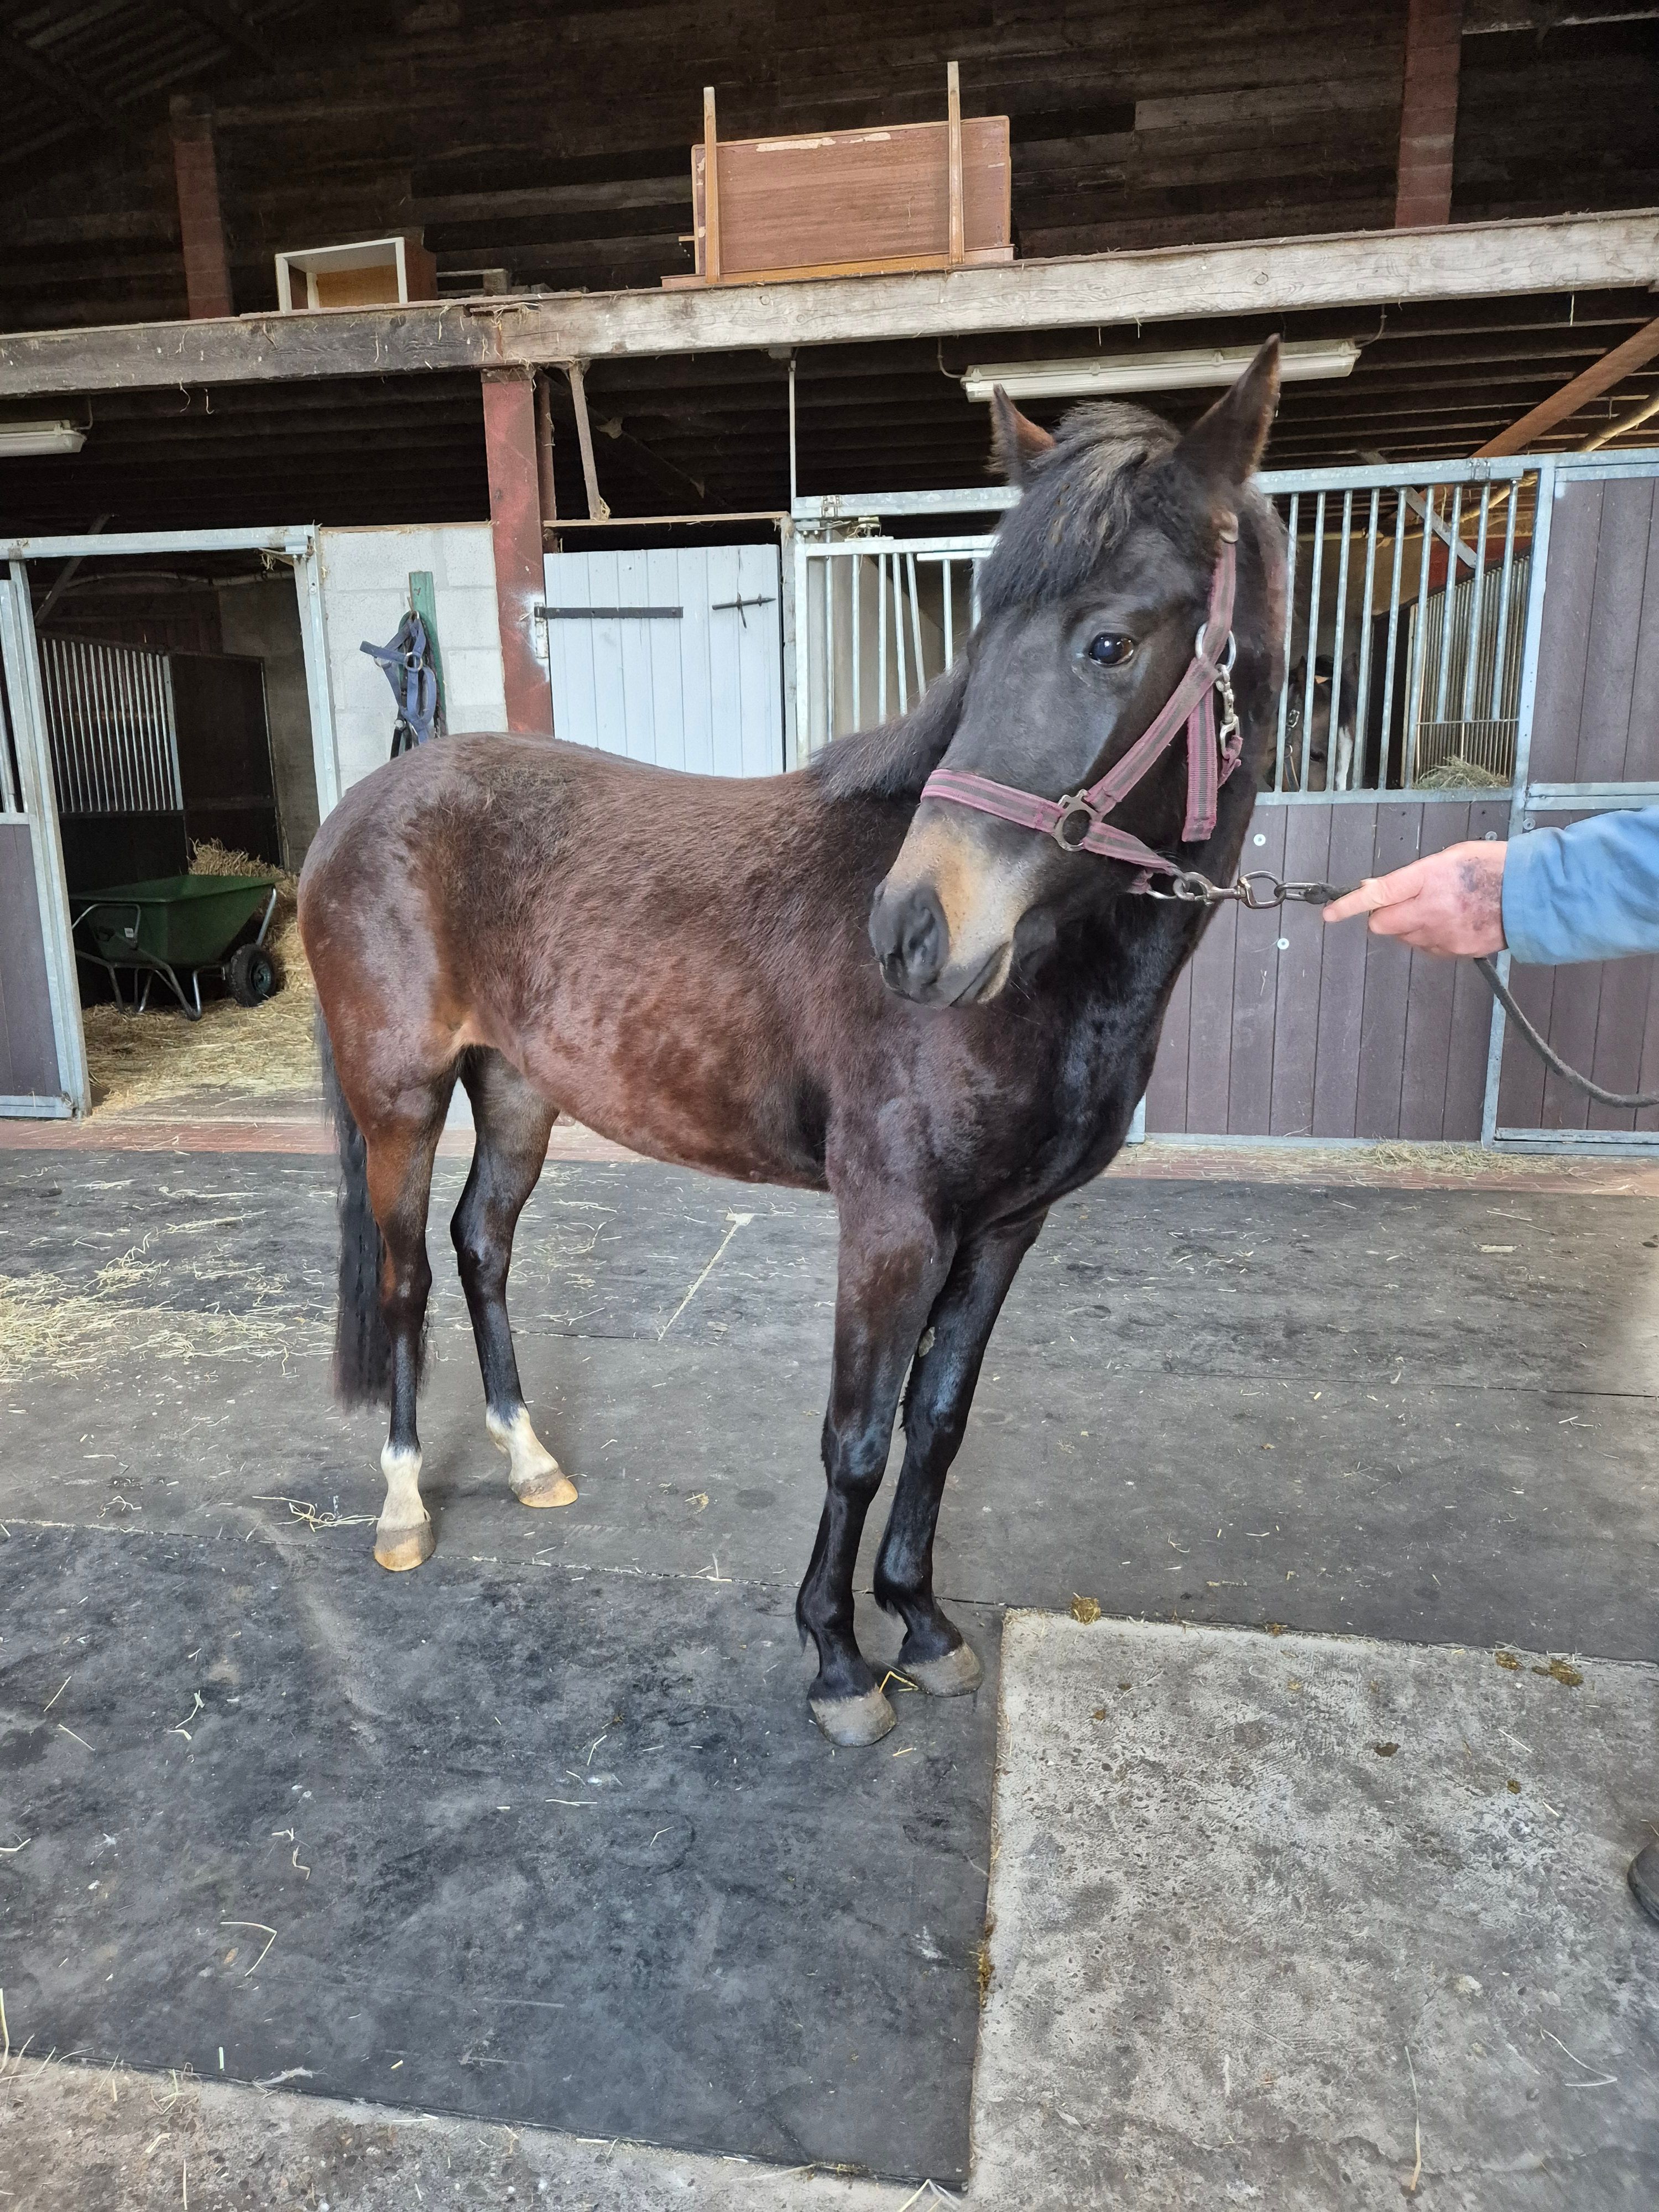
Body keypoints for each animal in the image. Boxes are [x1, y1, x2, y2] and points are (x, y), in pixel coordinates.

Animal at [297, 338, 1286, 1749]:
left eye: (1112, 641)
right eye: (984, 636)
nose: (913, 931)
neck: (1045, 971)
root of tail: (368, 801)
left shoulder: (1004, 1227)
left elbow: (937, 1422)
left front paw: (922, 1626)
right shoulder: (890, 1222)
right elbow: (857, 1435)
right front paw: (836, 1658)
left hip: (521, 1090)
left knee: (481, 1247)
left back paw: (531, 1460)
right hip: (401, 1098)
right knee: (404, 1281)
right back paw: (401, 1508)